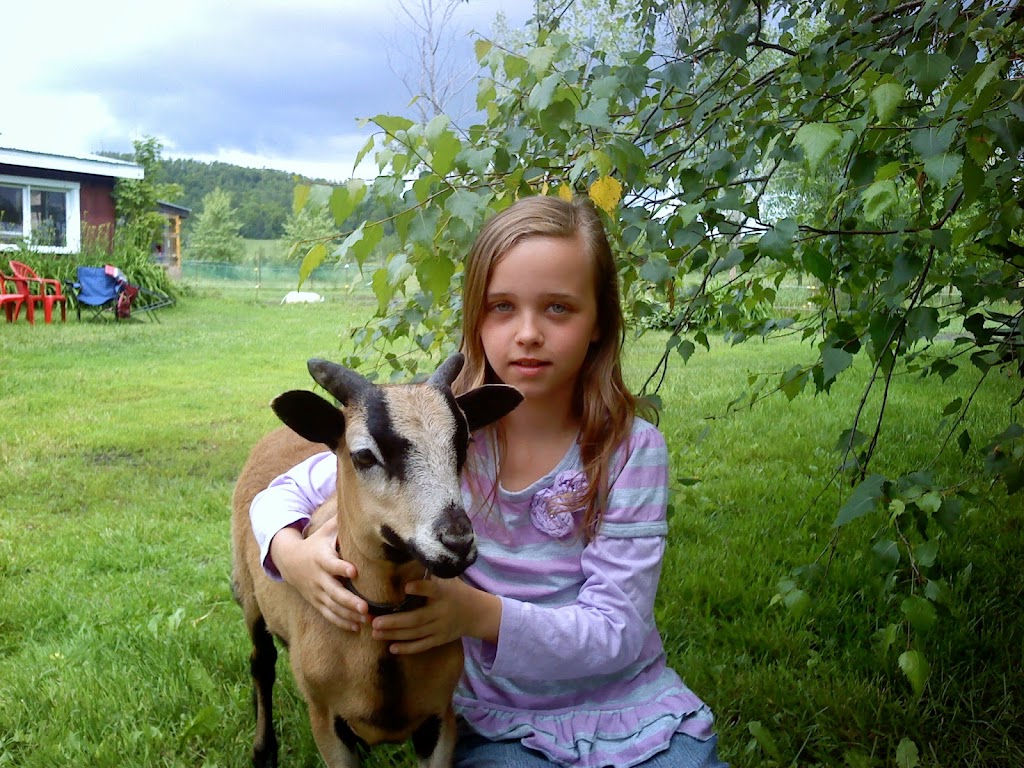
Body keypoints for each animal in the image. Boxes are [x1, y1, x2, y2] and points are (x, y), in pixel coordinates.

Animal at [231, 354, 520, 768]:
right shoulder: (326, 722)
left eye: (463, 444)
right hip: (248, 592)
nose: (457, 542)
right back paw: (263, 750)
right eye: (364, 455)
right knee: (261, 662)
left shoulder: (439, 718)